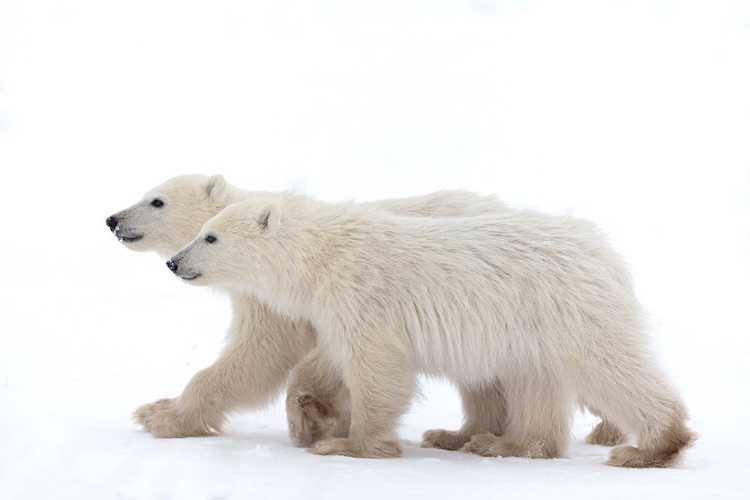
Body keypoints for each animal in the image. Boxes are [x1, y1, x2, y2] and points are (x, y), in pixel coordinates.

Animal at [167, 195, 696, 468]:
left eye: (210, 235)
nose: (174, 262)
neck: (323, 255)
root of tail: (604, 250)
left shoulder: (361, 294)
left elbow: (377, 368)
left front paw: (349, 445)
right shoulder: (331, 308)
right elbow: (331, 361)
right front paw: (310, 418)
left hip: (566, 309)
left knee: (609, 366)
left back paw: (650, 447)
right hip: (530, 330)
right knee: (535, 382)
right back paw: (498, 443)